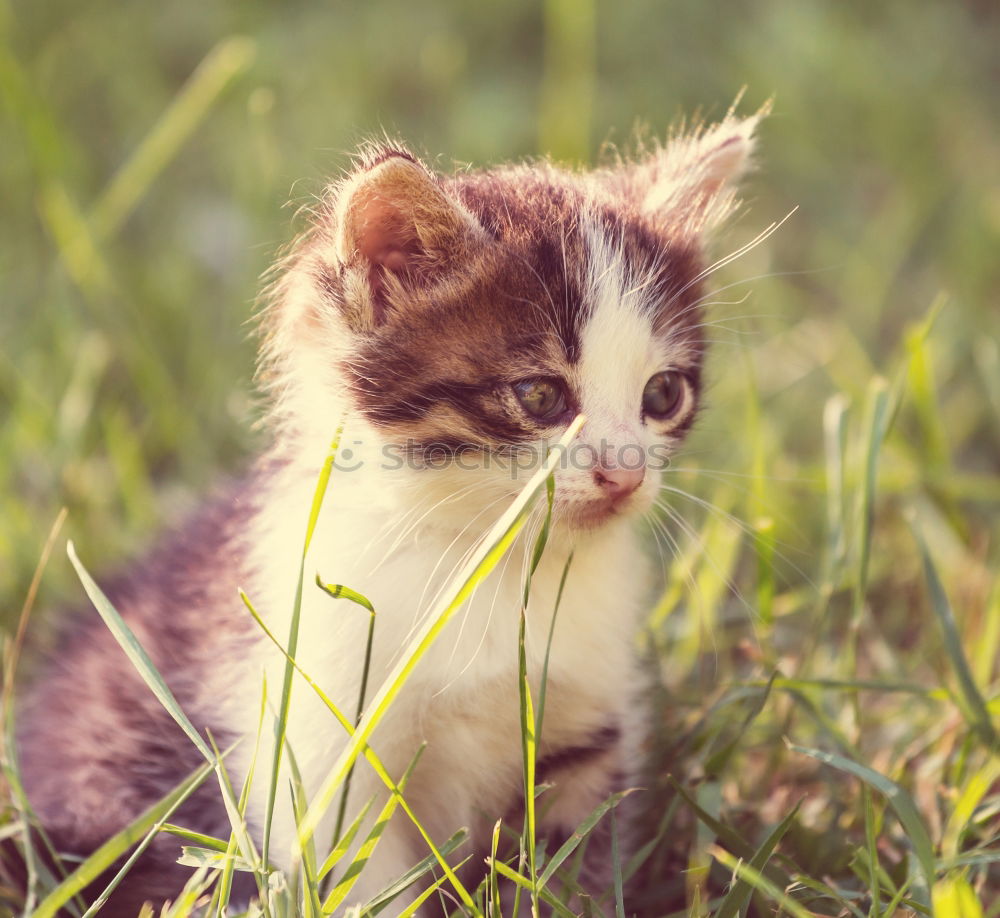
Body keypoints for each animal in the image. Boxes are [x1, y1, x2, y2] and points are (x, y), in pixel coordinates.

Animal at [15, 111, 760, 916]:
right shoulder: (317, 748)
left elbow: (573, 872)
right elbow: (362, 881)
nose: (623, 475)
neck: (484, 560)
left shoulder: (585, 739)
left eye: (663, 395)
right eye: (539, 396)